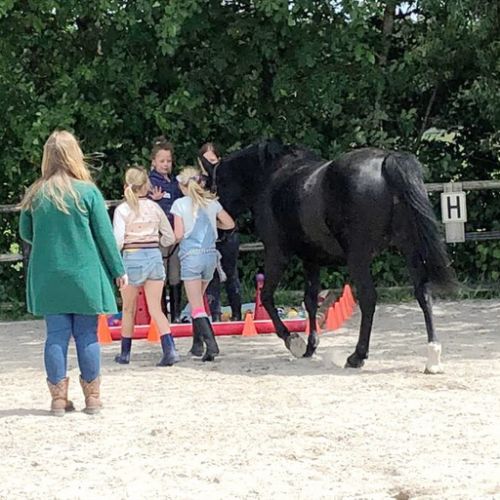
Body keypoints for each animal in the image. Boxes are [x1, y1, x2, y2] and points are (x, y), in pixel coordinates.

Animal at [201, 141, 455, 372]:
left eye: (212, 188)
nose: (220, 236)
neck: (270, 177)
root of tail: (386, 161)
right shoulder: (311, 259)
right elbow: (310, 301)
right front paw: (310, 346)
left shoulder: (276, 253)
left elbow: (267, 297)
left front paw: (293, 340)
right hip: (410, 249)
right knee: (423, 294)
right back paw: (433, 357)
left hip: (359, 257)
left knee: (369, 298)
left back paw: (357, 356)